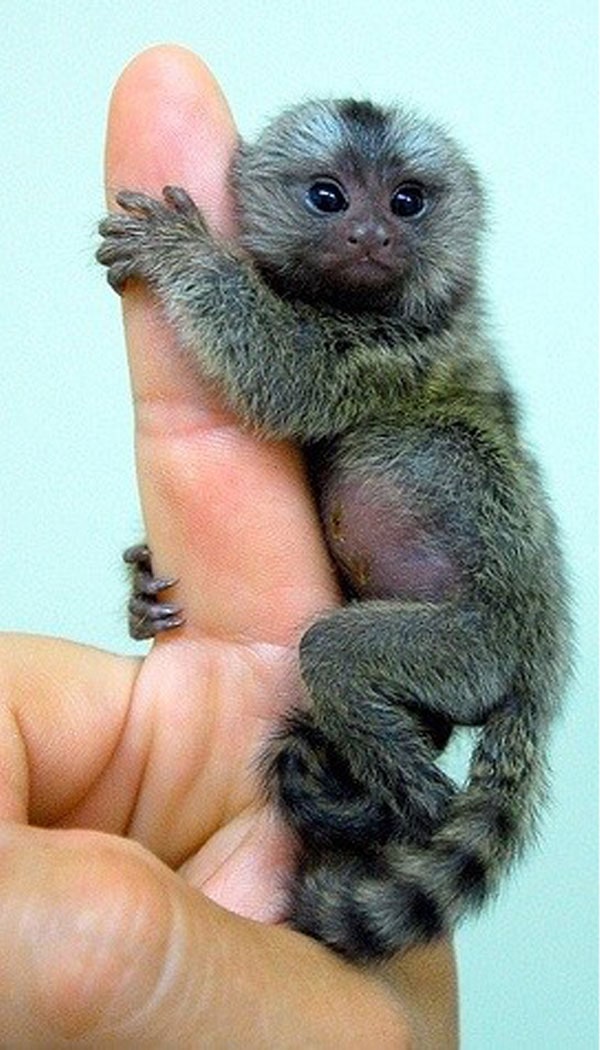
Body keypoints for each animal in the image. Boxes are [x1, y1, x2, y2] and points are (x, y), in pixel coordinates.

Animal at [96, 98, 571, 961]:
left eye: (406, 203)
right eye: (329, 198)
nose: (373, 235)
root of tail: (542, 672)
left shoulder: (400, 348)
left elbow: (286, 374)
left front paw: (185, 254)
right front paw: (141, 587)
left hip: (475, 651)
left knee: (338, 655)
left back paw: (404, 800)